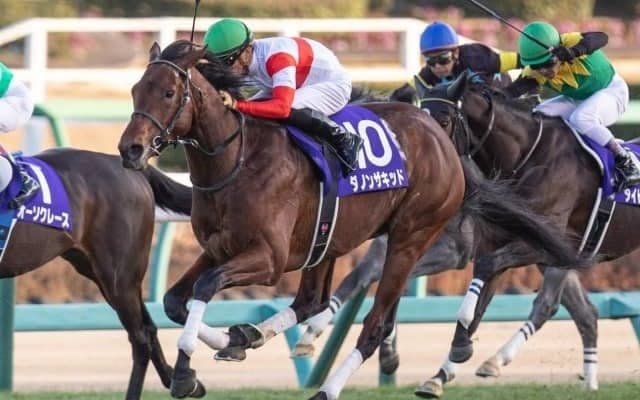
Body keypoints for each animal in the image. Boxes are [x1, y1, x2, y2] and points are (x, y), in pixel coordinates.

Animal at [0, 148, 193, 400]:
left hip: (119, 276)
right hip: (101, 273)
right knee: (149, 328)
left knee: (140, 339)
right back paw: (184, 382)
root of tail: (125, 166)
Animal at [117, 40, 582, 400]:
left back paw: (326, 388)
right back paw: (255, 336)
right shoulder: (219, 248)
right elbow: (177, 300)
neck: (238, 160)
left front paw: (185, 374)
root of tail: (444, 141)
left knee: (374, 326)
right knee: (311, 301)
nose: (130, 149)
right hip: (329, 241)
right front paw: (232, 341)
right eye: (137, 89)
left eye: (168, 92)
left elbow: (205, 288)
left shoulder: (268, 259)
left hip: (409, 238)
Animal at [410, 71, 640, 397]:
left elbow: (486, 280)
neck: (527, 157)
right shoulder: (501, 244)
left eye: (443, 120)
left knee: (549, 305)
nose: (425, 164)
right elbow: (479, 303)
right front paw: (445, 368)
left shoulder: (550, 244)